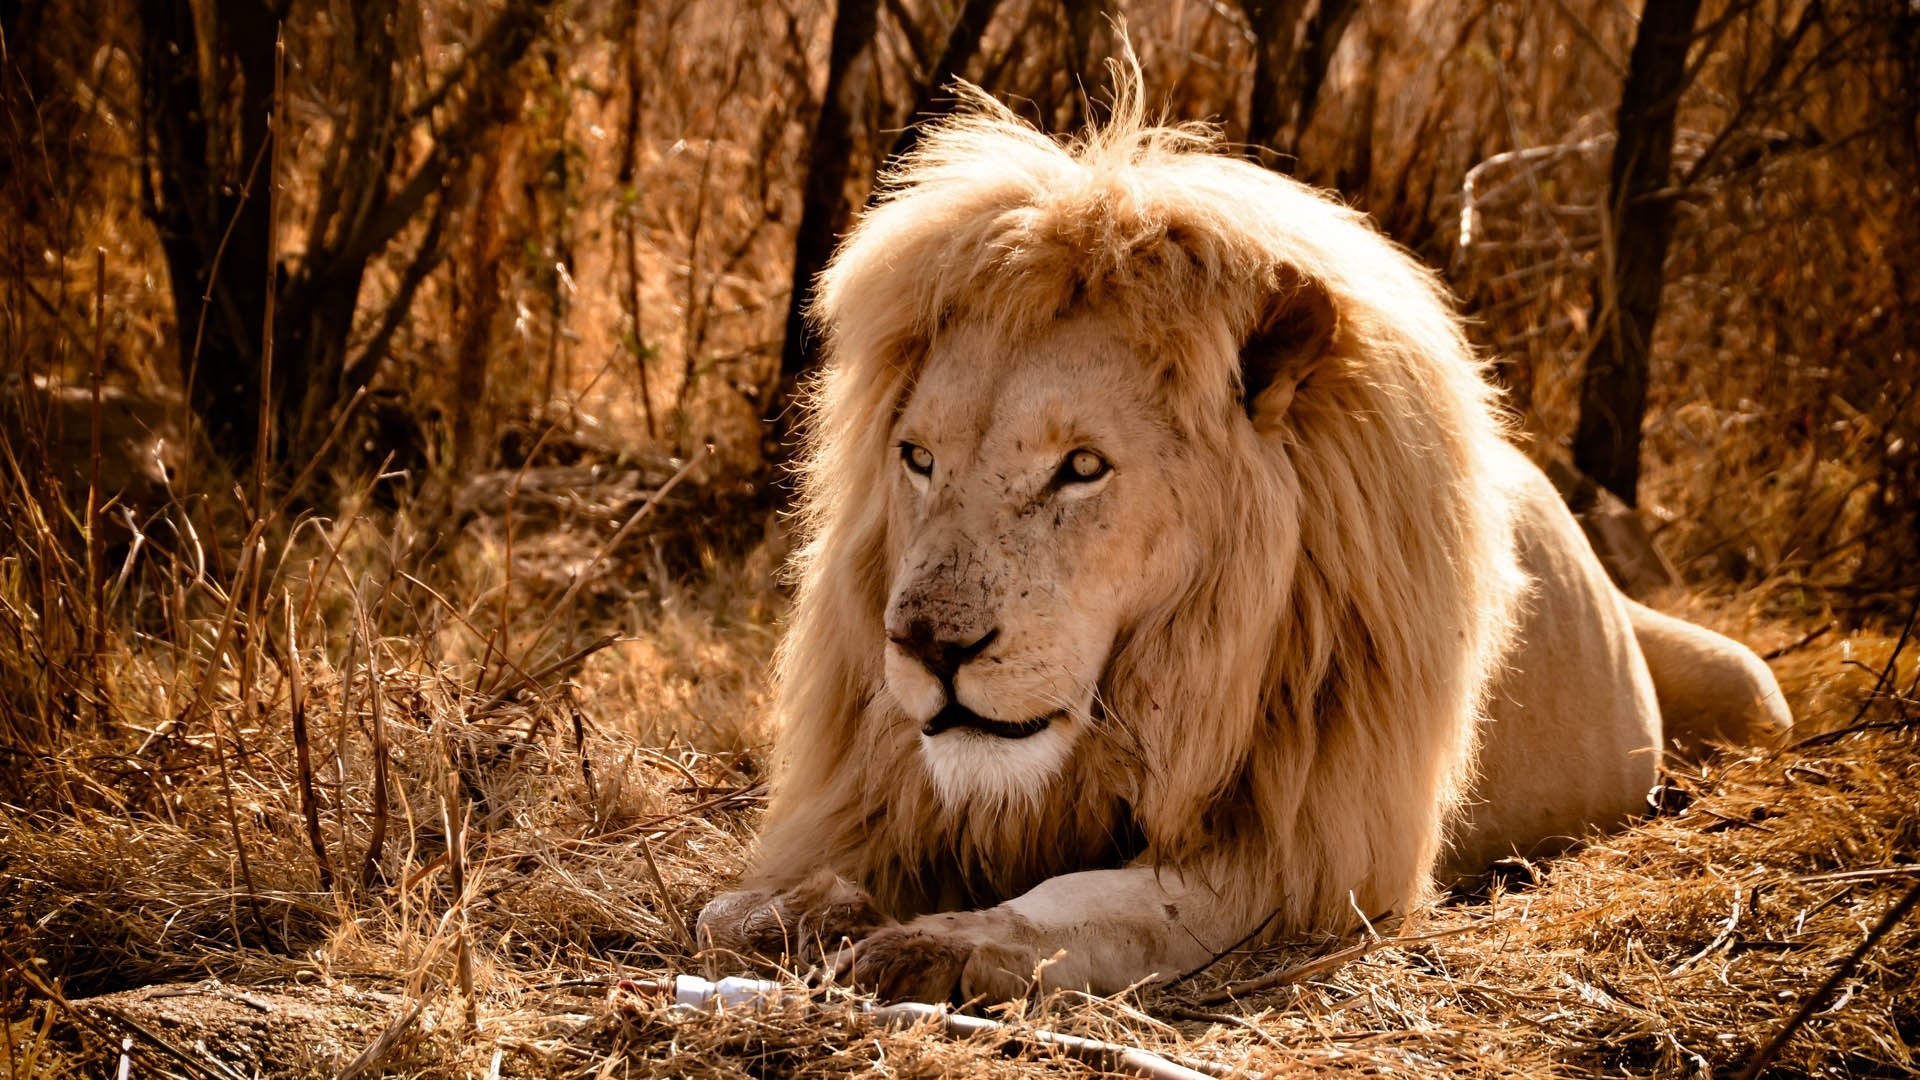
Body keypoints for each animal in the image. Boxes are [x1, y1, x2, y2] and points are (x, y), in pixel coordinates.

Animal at [698, 77, 1789, 999]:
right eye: (918, 458)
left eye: (1081, 467)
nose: (927, 649)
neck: (1171, 675)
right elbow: (731, 909)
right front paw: (795, 910)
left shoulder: (1308, 852)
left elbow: (1100, 904)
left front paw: (940, 947)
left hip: (1750, 688)